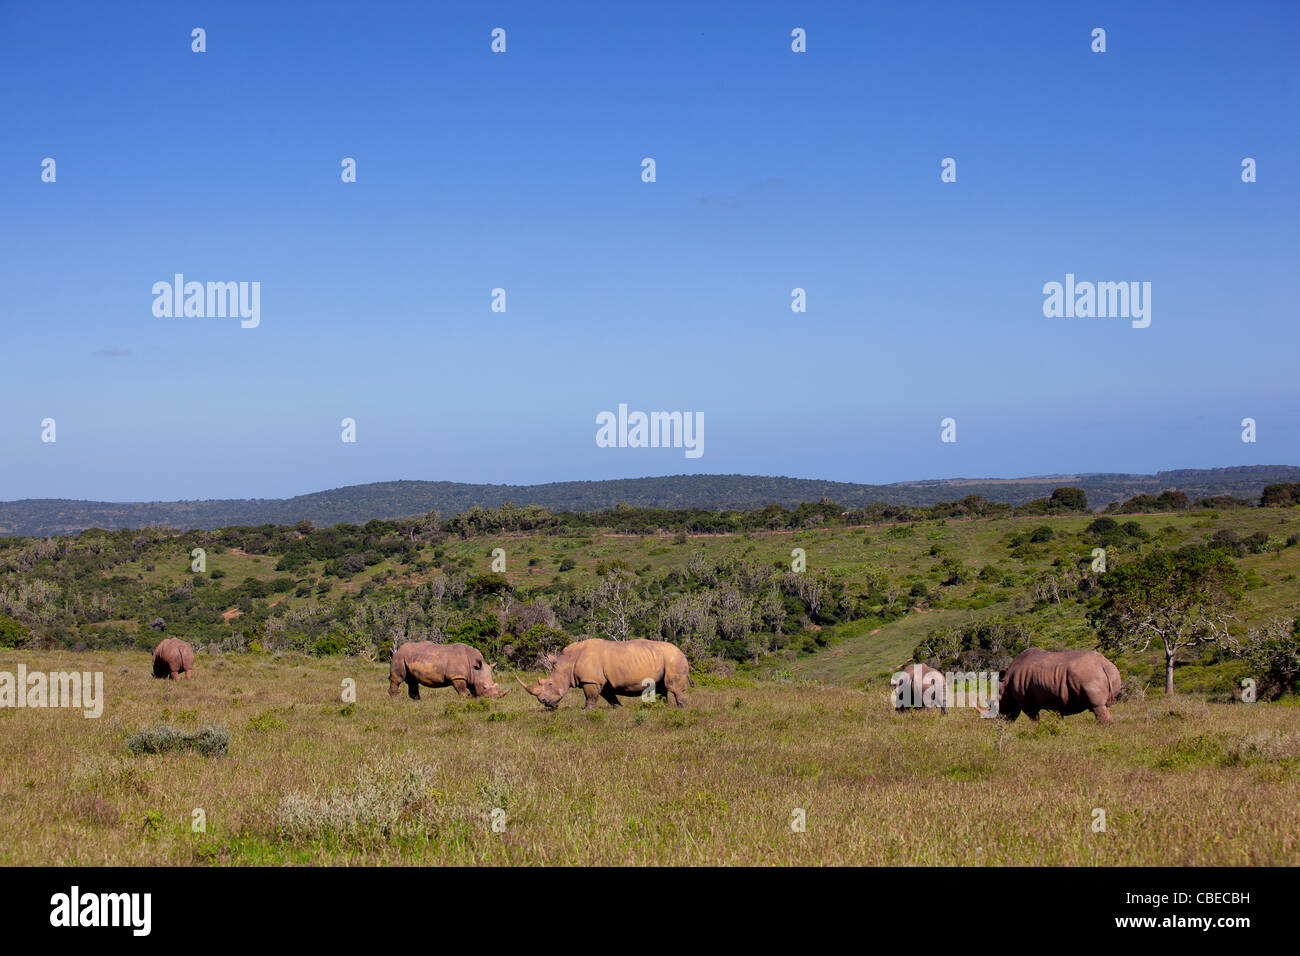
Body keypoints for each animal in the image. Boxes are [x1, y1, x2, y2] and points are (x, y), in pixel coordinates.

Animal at [516, 638, 690, 709]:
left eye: (550, 684)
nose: (543, 702)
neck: (567, 663)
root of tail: (683, 653)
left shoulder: (590, 680)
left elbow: (590, 697)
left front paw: (585, 711)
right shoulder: (601, 681)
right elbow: (610, 697)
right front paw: (619, 709)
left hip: (673, 659)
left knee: (672, 687)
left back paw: (682, 709)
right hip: (665, 659)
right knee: (661, 687)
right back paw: (662, 708)